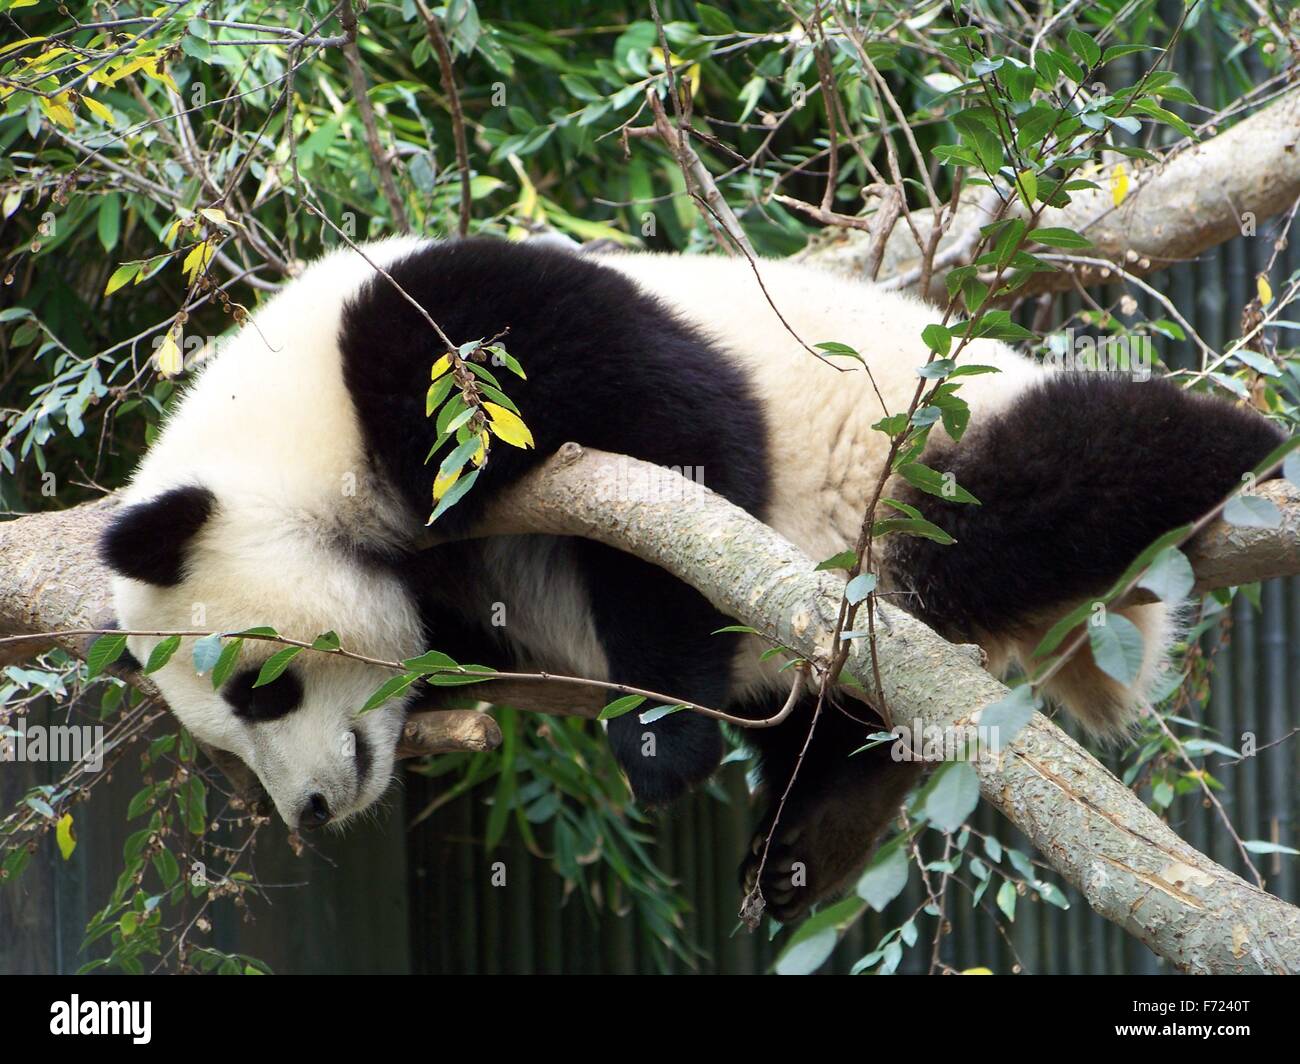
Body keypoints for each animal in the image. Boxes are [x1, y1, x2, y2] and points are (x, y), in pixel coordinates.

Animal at [96, 236, 1284, 915]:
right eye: (225, 736)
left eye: (260, 689)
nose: (306, 808)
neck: (287, 430)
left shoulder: (430, 335)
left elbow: (681, 450)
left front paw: (661, 743)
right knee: (847, 708)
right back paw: (811, 835)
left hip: (926, 449)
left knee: (1071, 466)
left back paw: (1250, 452)